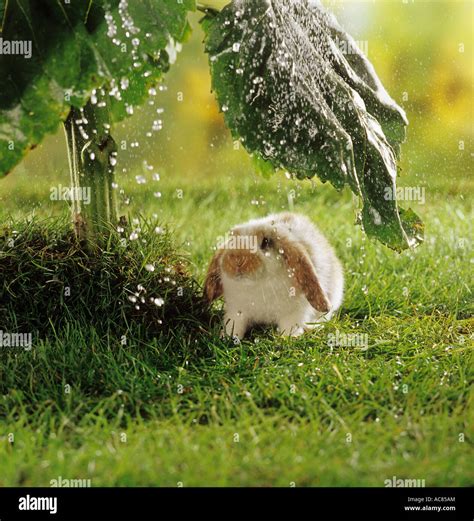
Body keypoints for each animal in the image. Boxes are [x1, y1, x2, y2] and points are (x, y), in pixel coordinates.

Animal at [204, 210, 344, 338]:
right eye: (232, 240)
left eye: (266, 242)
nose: (237, 260)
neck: (255, 287)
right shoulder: (236, 311)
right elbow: (234, 324)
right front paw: (228, 336)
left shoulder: (293, 313)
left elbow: (290, 325)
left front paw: (289, 338)